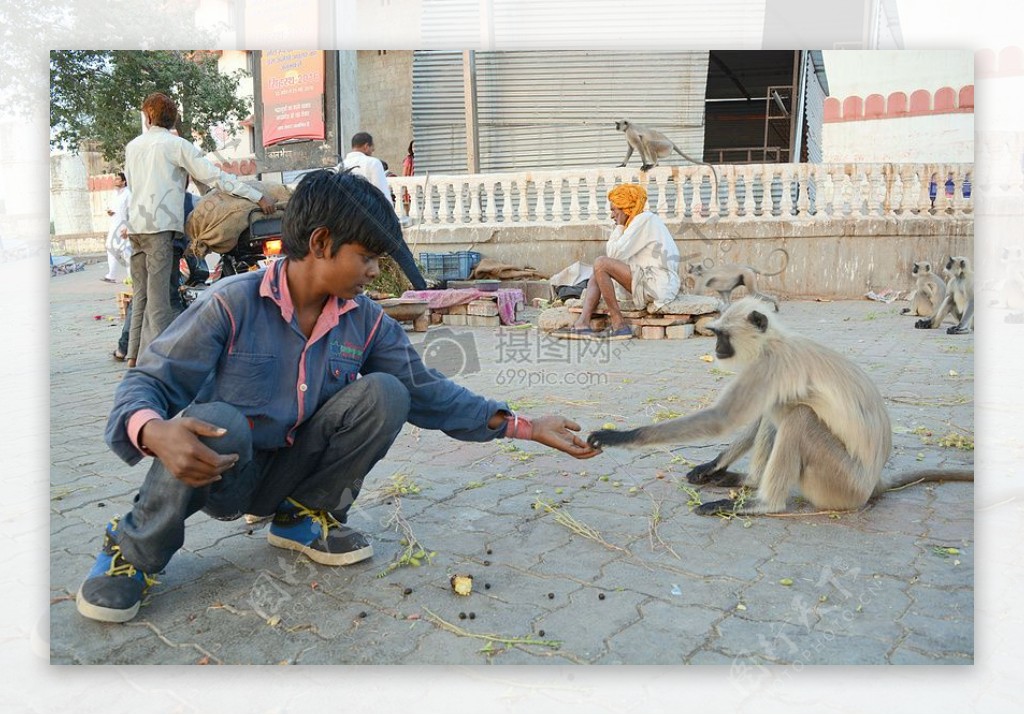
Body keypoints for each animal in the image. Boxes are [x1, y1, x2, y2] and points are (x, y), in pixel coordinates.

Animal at [589, 295, 970, 512]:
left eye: (722, 336)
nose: (716, 349)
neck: (774, 342)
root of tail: (872, 482)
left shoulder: (770, 365)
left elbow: (722, 418)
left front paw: (617, 436)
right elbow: (757, 415)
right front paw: (712, 465)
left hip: (840, 483)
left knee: (798, 417)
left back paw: (762, 504)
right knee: (778, 414)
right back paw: (746, 481)